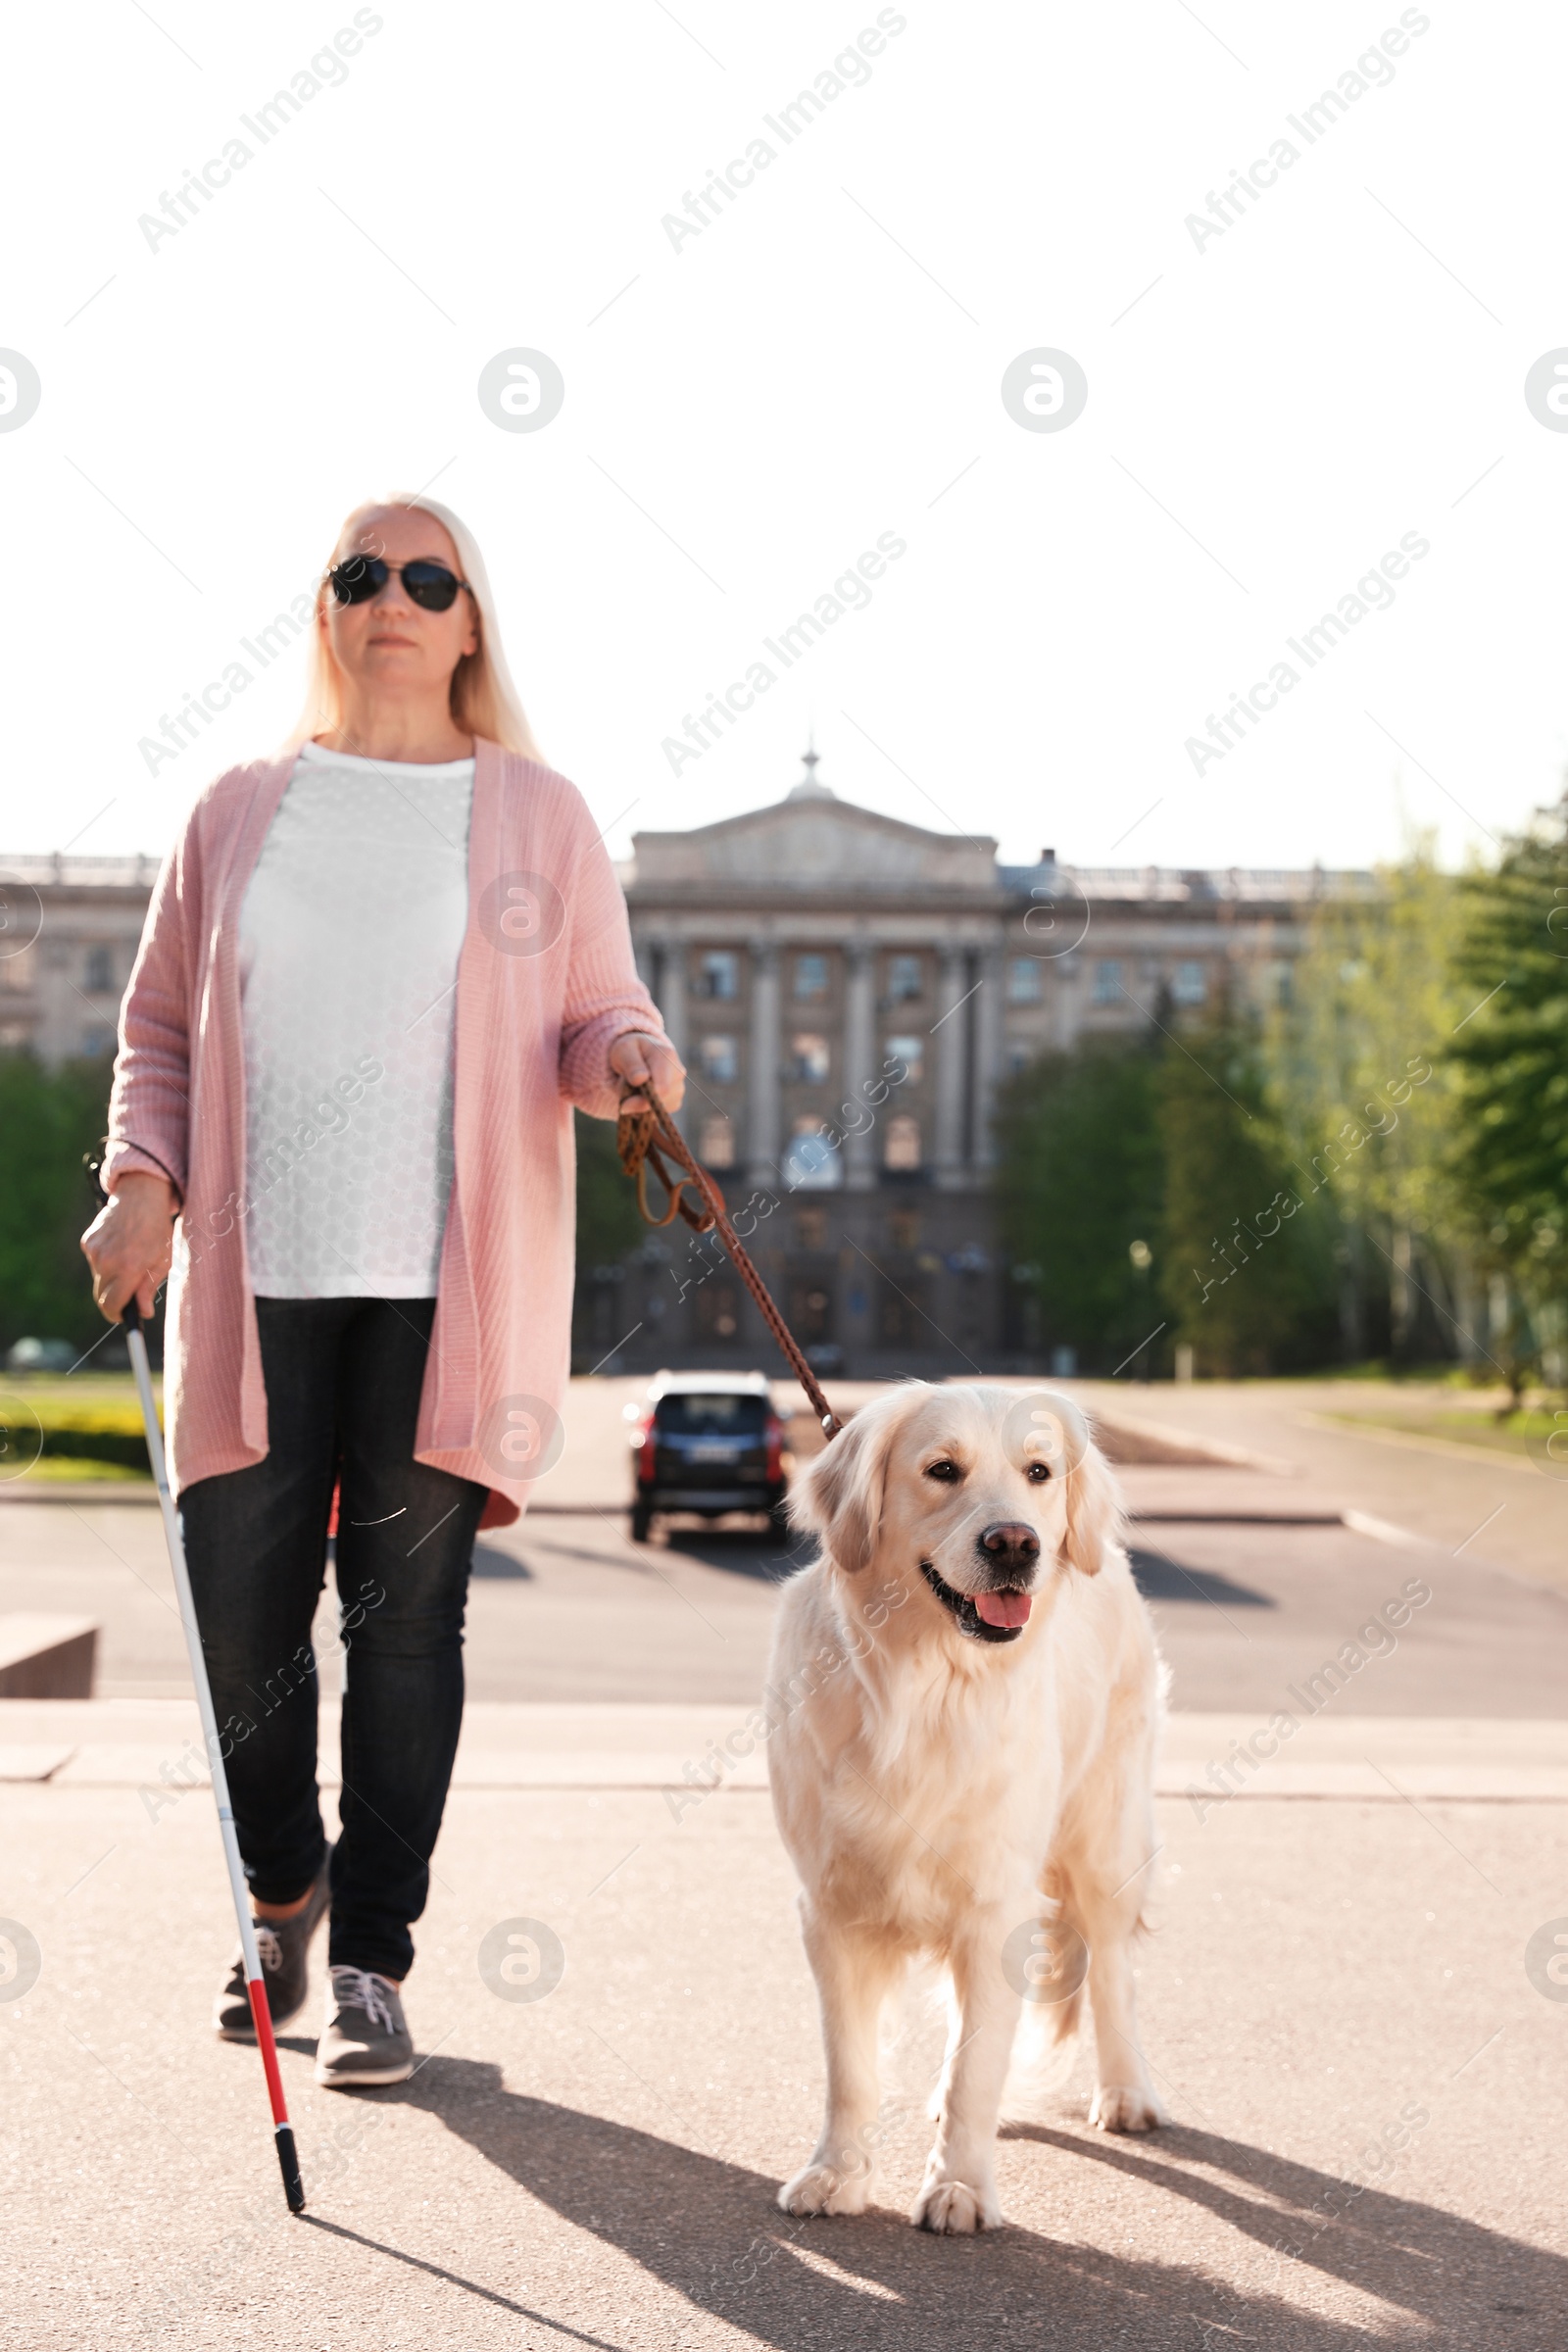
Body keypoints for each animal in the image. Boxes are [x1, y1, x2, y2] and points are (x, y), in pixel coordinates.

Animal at [766, 1383, 1161, 2230]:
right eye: (942, 1469)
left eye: (1038, 1471)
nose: (1015, 1544)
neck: (928, 1687)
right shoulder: (831, 1908)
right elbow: (851, 2068)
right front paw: (835, 2176)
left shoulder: (994, 1907)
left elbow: (977, 2066)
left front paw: (960, 2187)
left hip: (1105, 1840)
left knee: (1112, 1972)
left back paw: (1126, 2092)